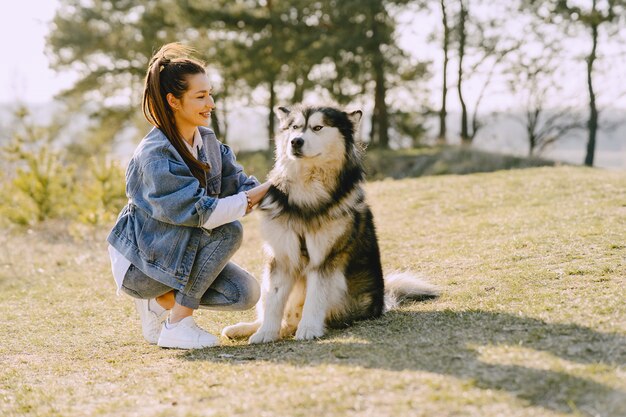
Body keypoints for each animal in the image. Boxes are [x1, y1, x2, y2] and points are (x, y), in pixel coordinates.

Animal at [222, 104, 436, 342]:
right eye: (295, 127)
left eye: (318, 127)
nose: (295, 141)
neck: (307, 193)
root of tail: (382, 301)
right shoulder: (282, 256)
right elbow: (274, 301)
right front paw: (265, 333)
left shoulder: (326, 258)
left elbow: (315, 297)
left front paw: (308, 329)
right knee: (277, 312)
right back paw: (243, 328)